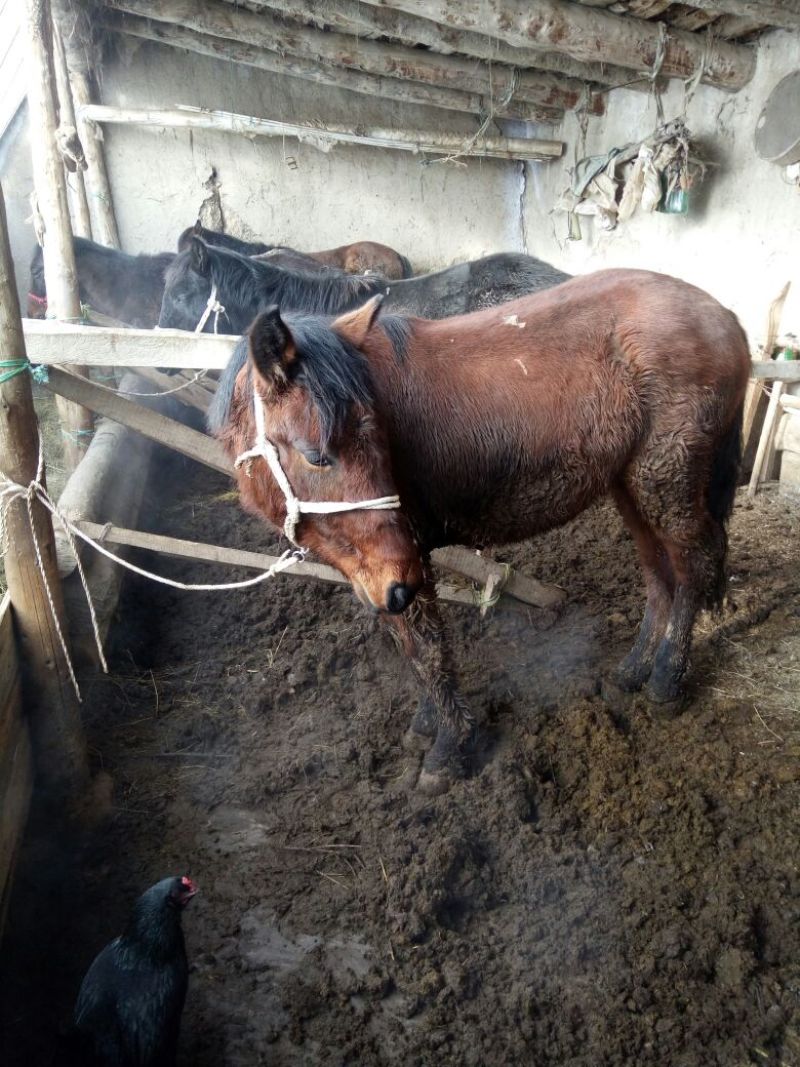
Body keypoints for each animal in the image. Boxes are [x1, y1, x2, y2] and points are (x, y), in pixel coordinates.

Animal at [210, 269, 750, 795]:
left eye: (372, 439)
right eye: (317, 456)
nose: (396, 585)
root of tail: (725, 317)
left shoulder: (408, 560)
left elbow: (428, 650)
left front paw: (448, 749)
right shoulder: (379, 574)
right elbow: (410, 646)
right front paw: (427, 725)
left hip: (667, 481)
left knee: (693, 567)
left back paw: (666, 681)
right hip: (631, 486)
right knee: (660, 575)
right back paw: (633, 670)